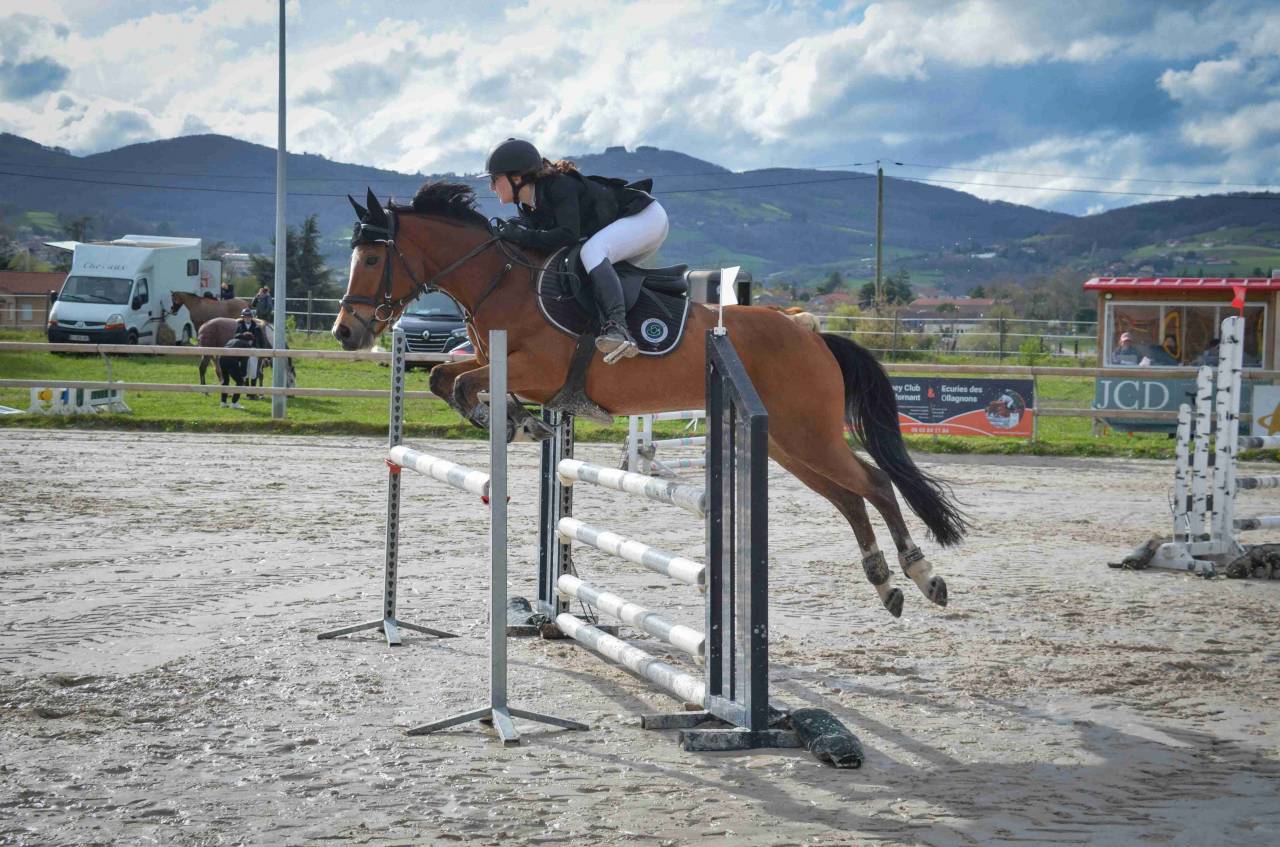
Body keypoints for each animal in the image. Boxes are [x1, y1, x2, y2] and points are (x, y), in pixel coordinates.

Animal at [333, 184, 967, 619]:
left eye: (372, 259)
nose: (346, 332)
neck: (501, 280)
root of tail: (807, 330)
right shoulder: (499, 364)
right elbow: (445, 377)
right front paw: (518, 421)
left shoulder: (539, 369)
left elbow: (462, 383)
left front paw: (511, 420)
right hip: (790, 444)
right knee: (850, 498)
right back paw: (886, 583)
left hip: (809, 434)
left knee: (874, 484)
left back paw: (923, 575)